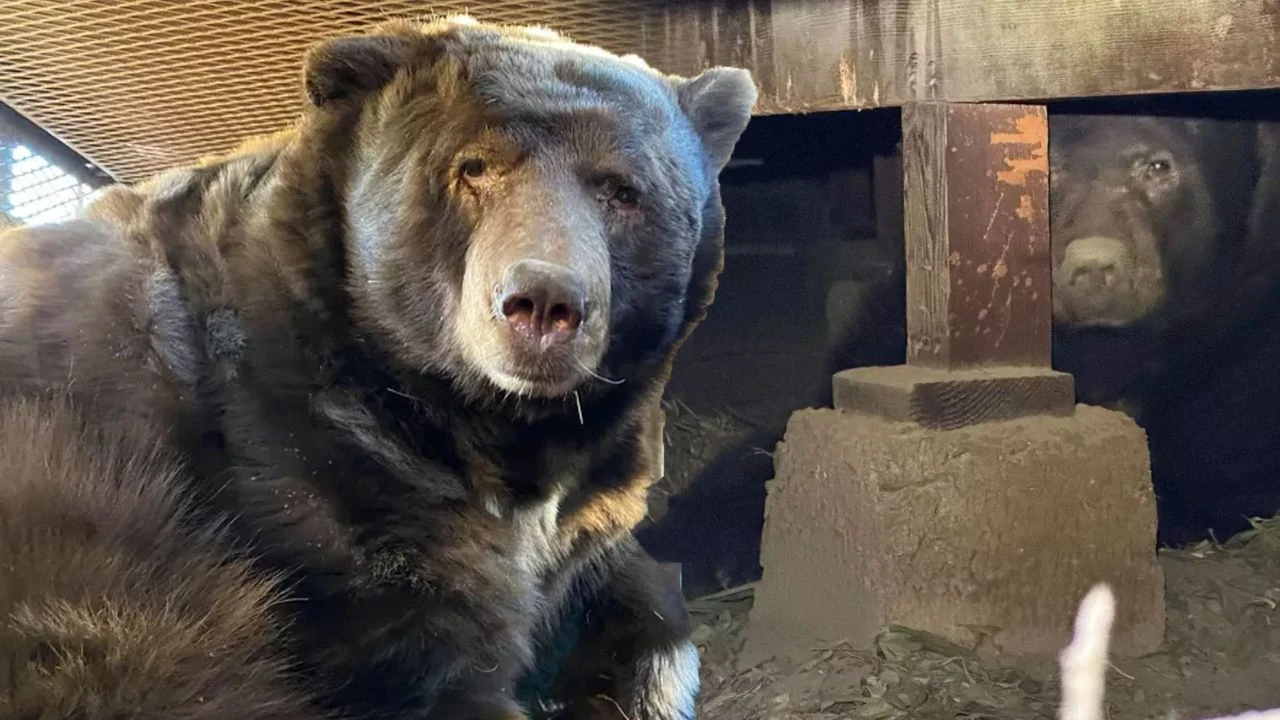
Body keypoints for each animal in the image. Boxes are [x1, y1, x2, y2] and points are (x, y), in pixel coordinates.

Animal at [0, 12, 752, 717]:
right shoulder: (317, 470)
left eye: (622, 190)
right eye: (474, 166)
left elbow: (630, 585)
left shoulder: (586, 509)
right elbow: (421, 652)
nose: (543, 301)